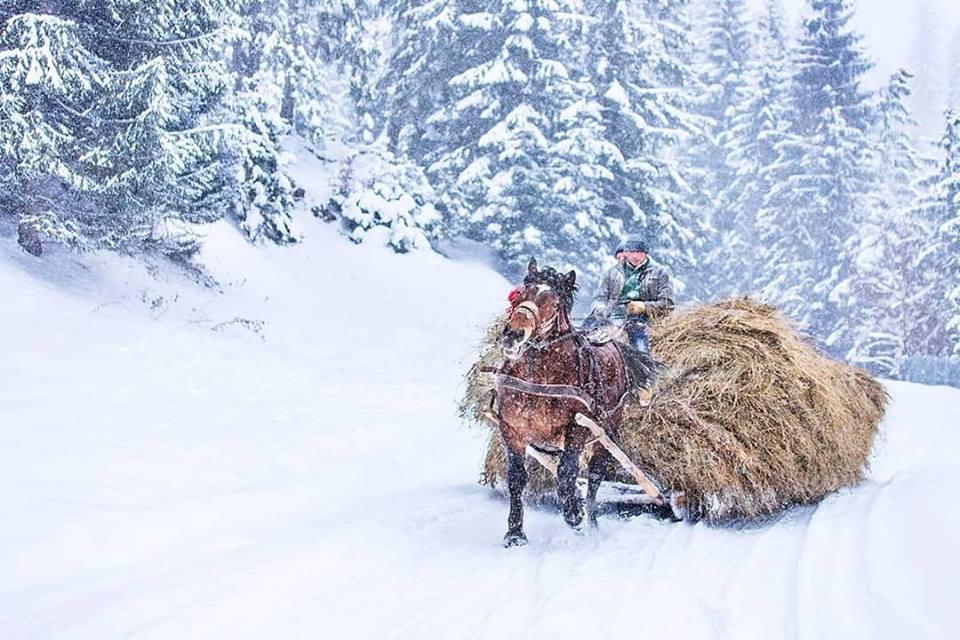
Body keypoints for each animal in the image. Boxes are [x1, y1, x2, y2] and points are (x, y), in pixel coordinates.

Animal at [492, 258, 656, 548]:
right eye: (520, 294)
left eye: (554, 303)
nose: (513, 334)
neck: (540, 376)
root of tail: (617, 345)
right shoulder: (512, 430)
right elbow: (517, 478)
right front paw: (515, 533)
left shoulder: (577, 428)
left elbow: (567, 472)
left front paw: (573, 514)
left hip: (606, 433)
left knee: (594, 477)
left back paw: (590, 522)